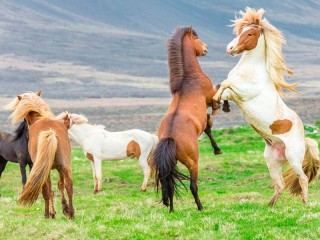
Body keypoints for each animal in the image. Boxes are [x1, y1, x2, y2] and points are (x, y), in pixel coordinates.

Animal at [5, 90, 74, 219]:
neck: (41, 117)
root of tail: (51, 132)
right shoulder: (58, 168)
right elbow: (60, 185)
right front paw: (64, 208)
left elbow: (50, 189)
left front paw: (53, 212)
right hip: (65, 166)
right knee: (69, 186)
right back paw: (71, 214)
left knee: (46, 190)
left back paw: (46, 214)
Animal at [149, 26, 220, 212]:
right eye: (196, 38)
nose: (205, 48)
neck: (188, 79)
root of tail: (170, 138)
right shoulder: (210, 97)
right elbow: (219, 93)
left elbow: (208, 125)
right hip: (192, 162)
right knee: (193, 185)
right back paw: (200, 207)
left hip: (171, 165)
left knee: (169, 185)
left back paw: (171, 209)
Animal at [212, 7, 320, 206]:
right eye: (240, 31)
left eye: (250, 33)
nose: (229, 49)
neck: (251, 70)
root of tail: (305, 139)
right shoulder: (235, 94)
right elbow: (221, 86)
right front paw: (219, 104)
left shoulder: (244, 93)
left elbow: (225, 83)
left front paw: (217, 102)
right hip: (272, 161)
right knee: (280, 184)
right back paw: (270, 205)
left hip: (293, 158)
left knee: (302, 178)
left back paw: (305, 202)